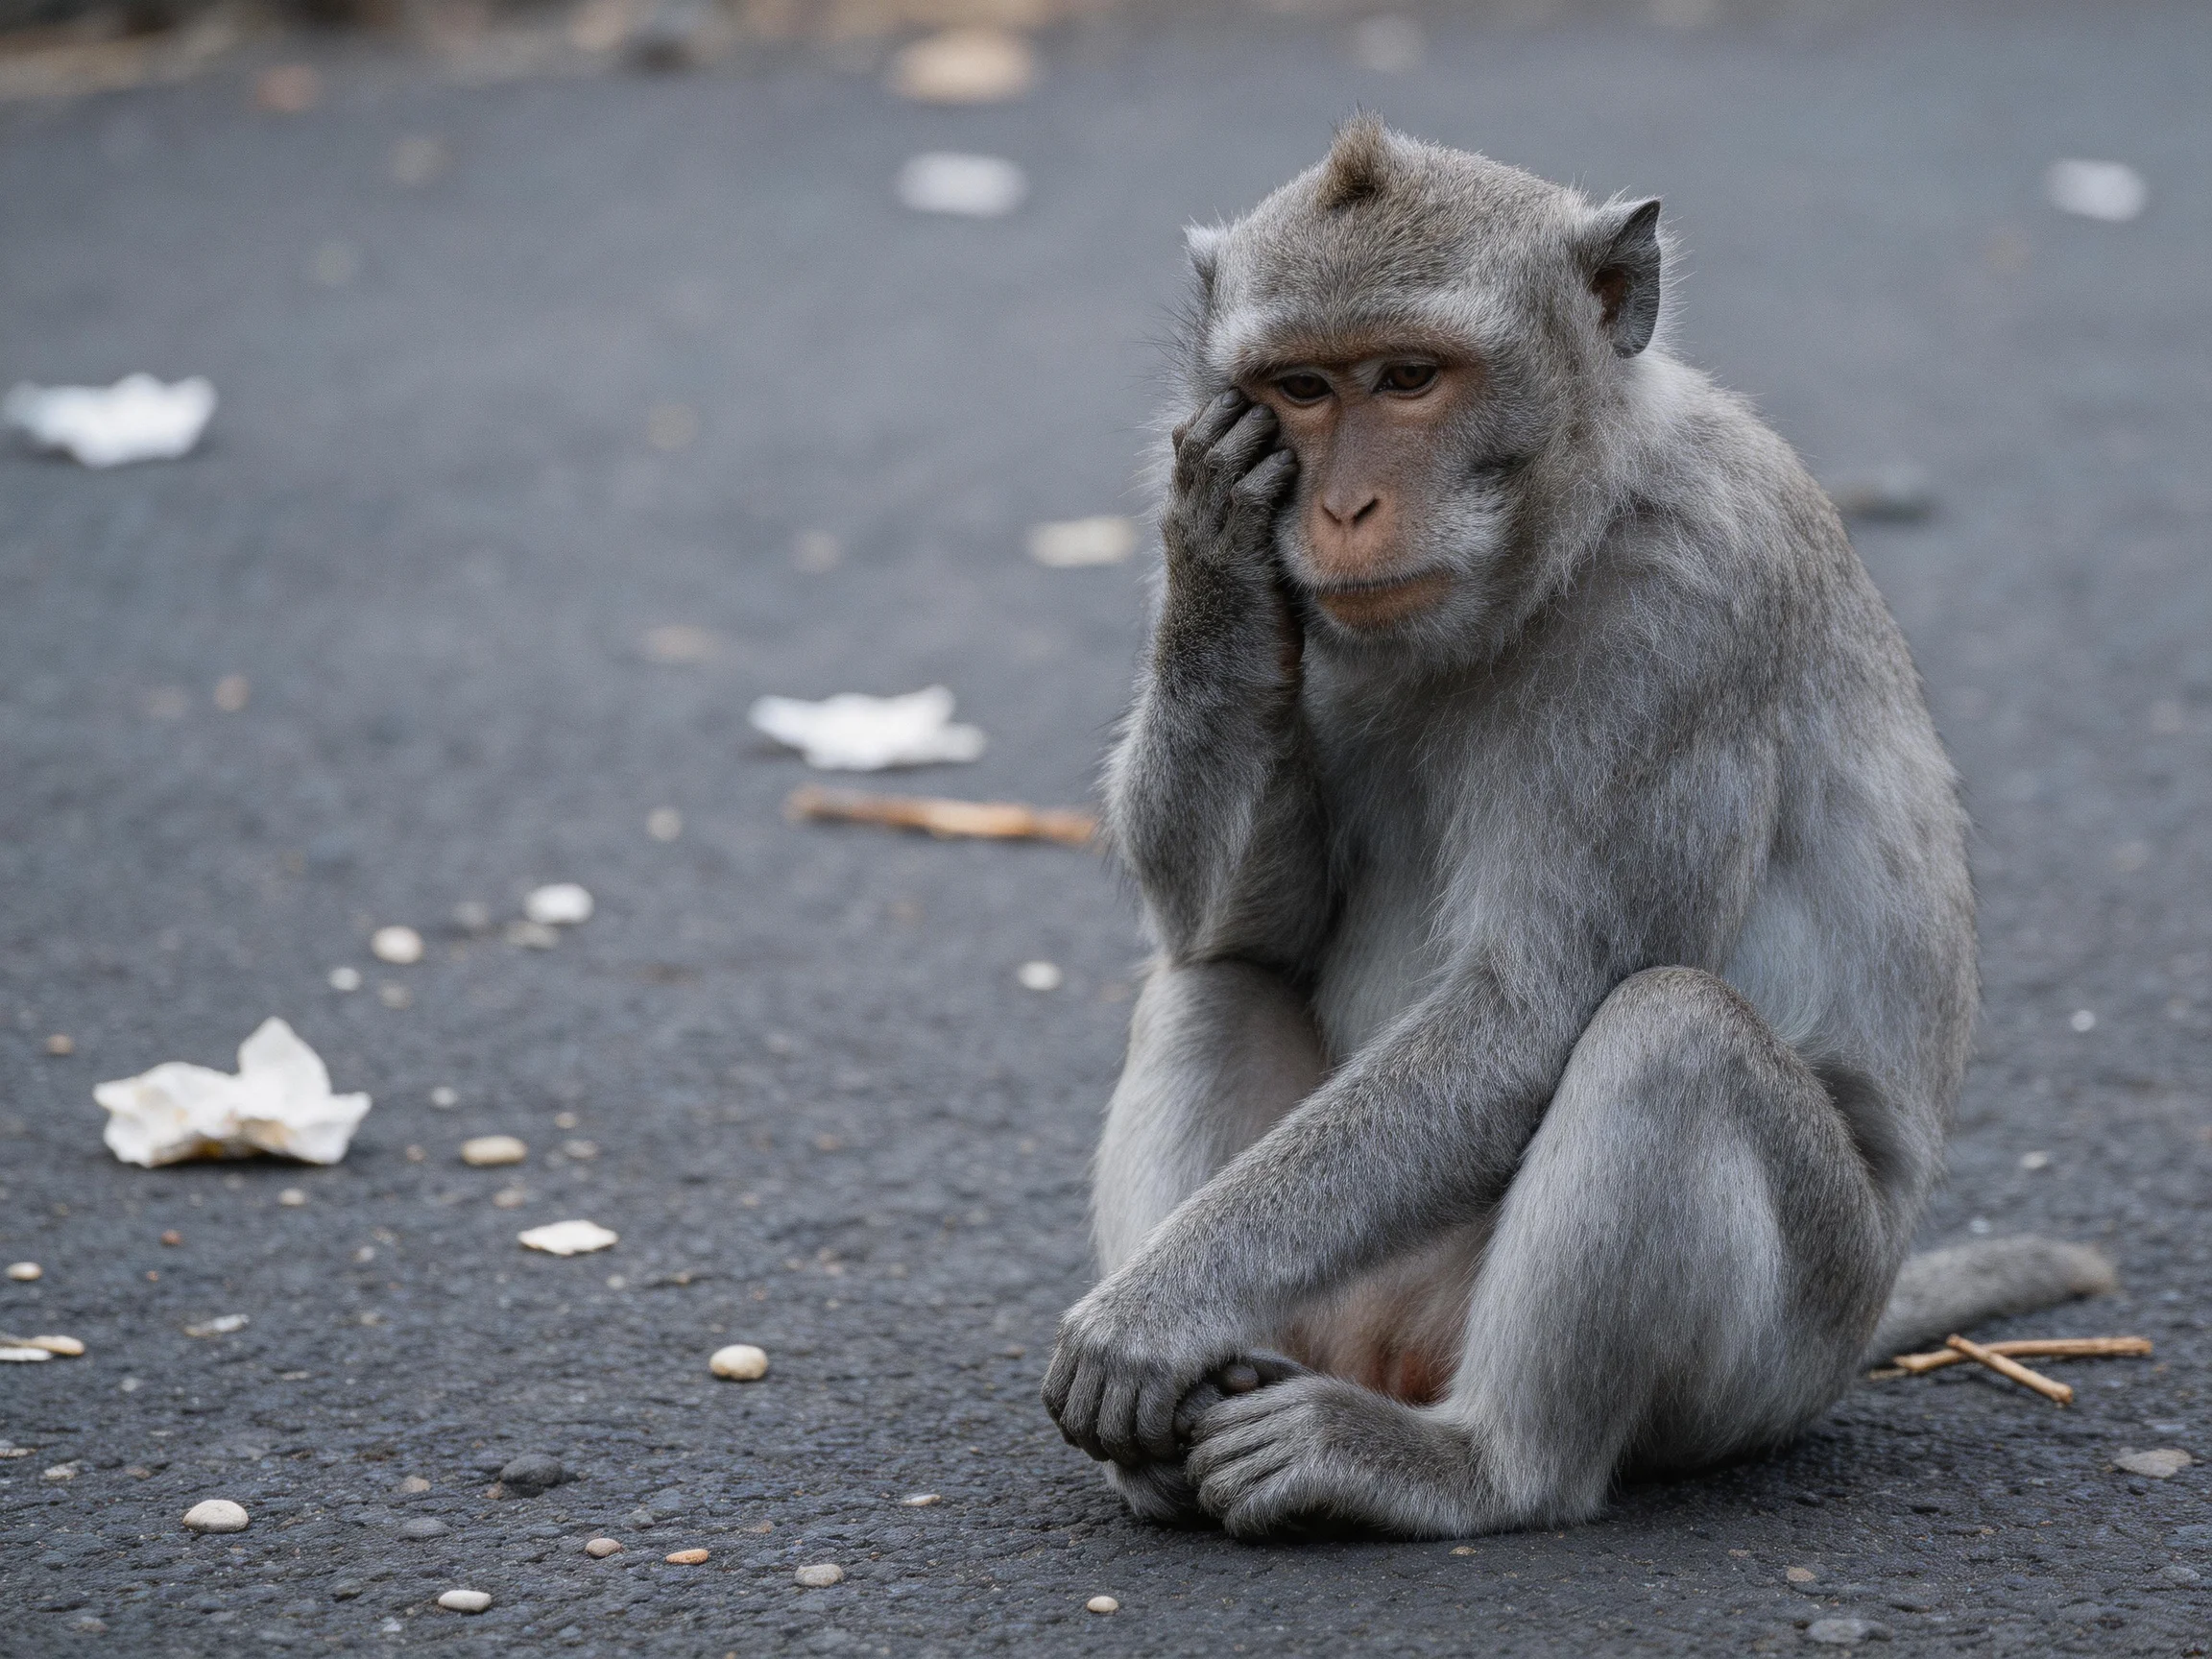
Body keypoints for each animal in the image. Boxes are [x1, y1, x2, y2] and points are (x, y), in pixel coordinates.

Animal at [1041, 117, 2114, 1541]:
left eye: (1408, 378)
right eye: (1302, 390)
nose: (1341, 512)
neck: (1569, 533)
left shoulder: (1686, 620)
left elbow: (1537, 1010)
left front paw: (1149, 1317)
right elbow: (1244, 924)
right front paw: (1213, 550)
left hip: (1781, 1354)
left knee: (1670, 1033)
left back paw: (1476, 1464)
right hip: (1345, 1305)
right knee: (1212, 982)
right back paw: (1198, 1417)